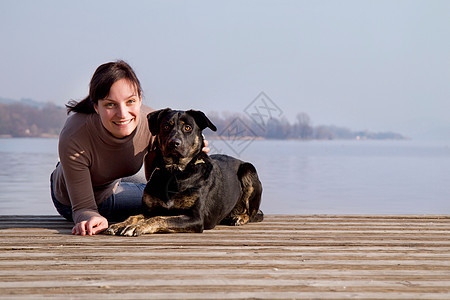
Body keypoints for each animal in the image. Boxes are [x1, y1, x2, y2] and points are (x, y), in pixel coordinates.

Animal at [106, 108, 264, 237]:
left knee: (254, 213)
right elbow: (135, 216)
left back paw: (240, 217)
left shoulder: (195, 218)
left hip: (248, 170)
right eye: (166, 126)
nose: (174, 143)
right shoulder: (149, 210)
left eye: (188, 128)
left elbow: (159, 218)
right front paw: (120, 224)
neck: (174, 173)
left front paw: (137, 227)